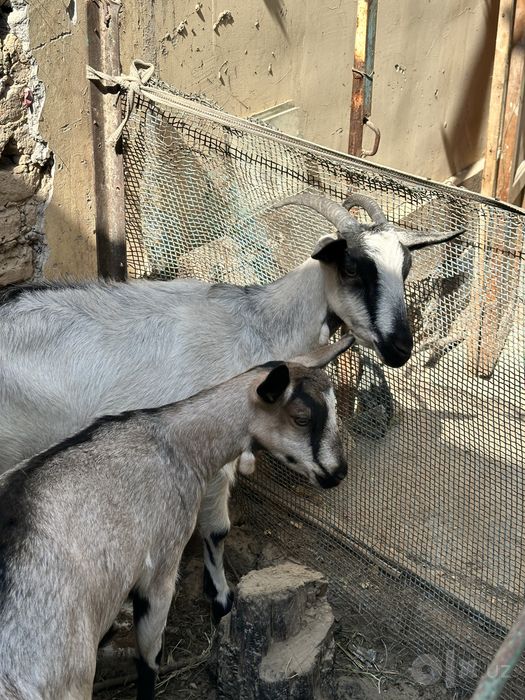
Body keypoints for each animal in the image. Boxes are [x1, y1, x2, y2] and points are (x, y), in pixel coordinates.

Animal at [0, 192, 463, 620]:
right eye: (351, 268)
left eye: (405, 267)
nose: (400, 348)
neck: (260, 325)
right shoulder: (212, 450)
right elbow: (217, 531)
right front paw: (221, 597)